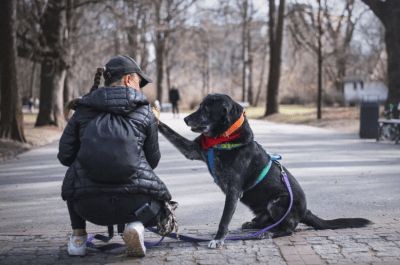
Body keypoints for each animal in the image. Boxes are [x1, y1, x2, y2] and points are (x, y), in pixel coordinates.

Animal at [158, 93, 370, 248]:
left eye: (206, 108)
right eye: (200, 106)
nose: (185, 119)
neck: (224, 138)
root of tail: (305, 211)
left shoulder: (233, 191)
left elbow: (224, 219)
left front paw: (218, 239)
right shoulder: (192, 150)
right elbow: (170, 131)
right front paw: (155, 117)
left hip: (278, 202)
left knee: (289, 228)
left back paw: (268, 233)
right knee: (269, 221)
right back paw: (255, 225)